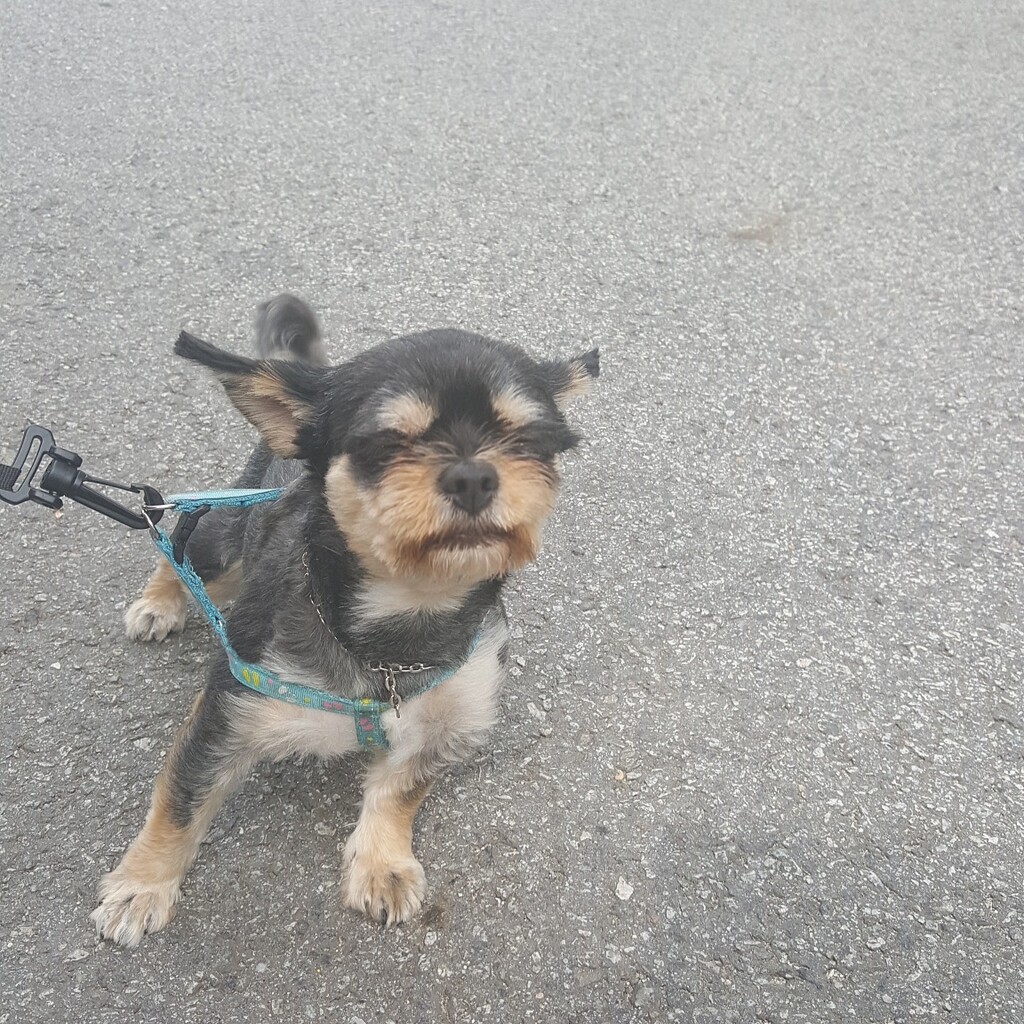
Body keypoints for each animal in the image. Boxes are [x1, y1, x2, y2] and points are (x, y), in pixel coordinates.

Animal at [90, 295, 598, 945]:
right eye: (385, 443)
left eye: (527, 439)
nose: (473, 476)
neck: (396, 635)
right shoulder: (229, 711)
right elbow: (180, 802)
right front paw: (143, 885)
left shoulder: (446, 724)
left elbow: (399, 791)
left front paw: (382, 862)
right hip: (225, 537)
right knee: (175, 544)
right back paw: (159, 603)